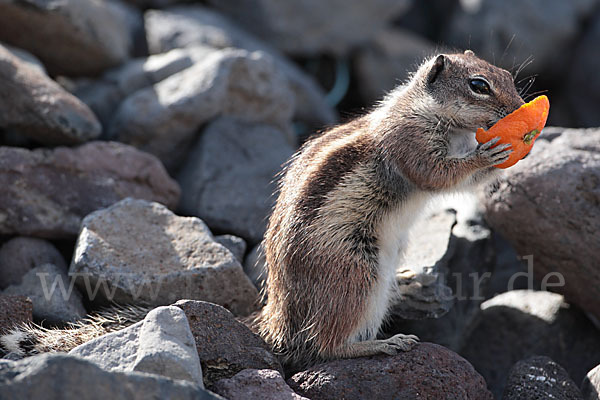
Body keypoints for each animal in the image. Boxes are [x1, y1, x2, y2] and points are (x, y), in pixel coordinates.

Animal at [258, 51, 524, 370]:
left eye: (507, 75)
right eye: (479, 86)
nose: (519, 108)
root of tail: (281, 318)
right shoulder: (409, 140)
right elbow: (438, 174)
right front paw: (486, 155)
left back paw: (406, 280)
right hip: (356, 272)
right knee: (326, 344)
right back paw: (382, 344)